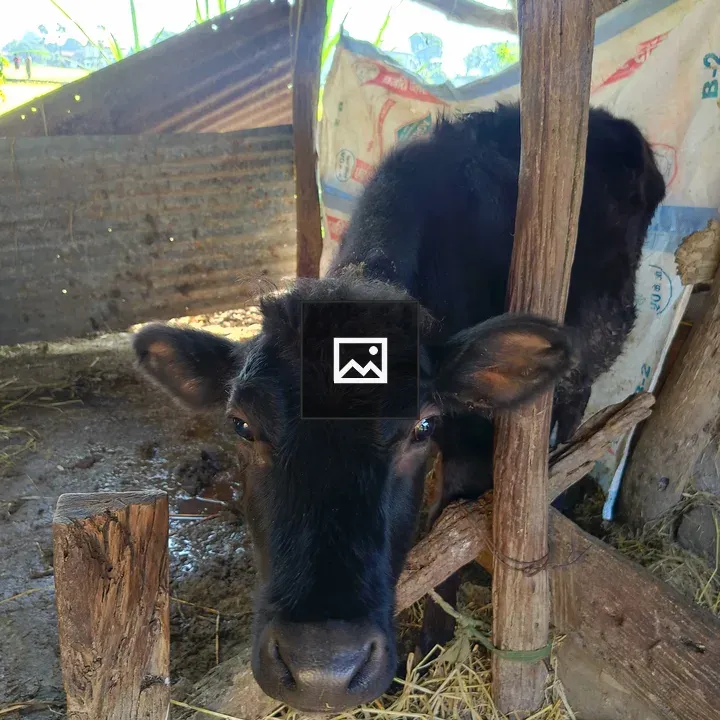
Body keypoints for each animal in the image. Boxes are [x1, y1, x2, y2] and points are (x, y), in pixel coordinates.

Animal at [133, 104, 665, 713]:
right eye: (242, 425)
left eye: (423, 425)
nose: (323, 671)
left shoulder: (472, 444)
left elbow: (449, 546)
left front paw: (431, 648)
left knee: (576, 406)